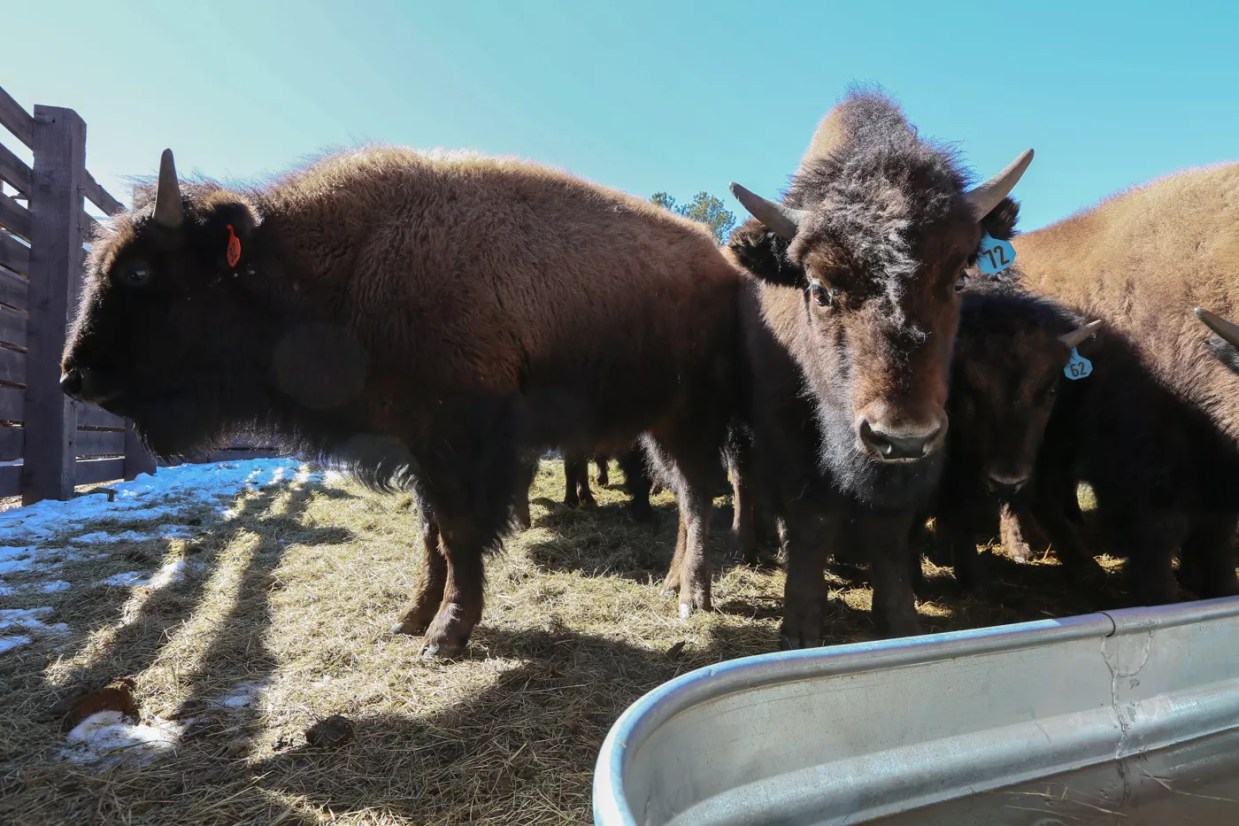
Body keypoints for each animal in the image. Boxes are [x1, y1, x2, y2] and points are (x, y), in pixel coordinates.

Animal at [60, 147, 740, 656]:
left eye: (140, 272)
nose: (73, 376)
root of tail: (721, 262)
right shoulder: (415, 447)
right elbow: (430, 535)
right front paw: (412, 617)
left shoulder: (457, 443)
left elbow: (460, 535)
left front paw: (446, 635)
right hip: (657, 426)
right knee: (686, 499)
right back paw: (674, 584)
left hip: (690, 419)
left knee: (698, 497)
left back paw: (693, 597)